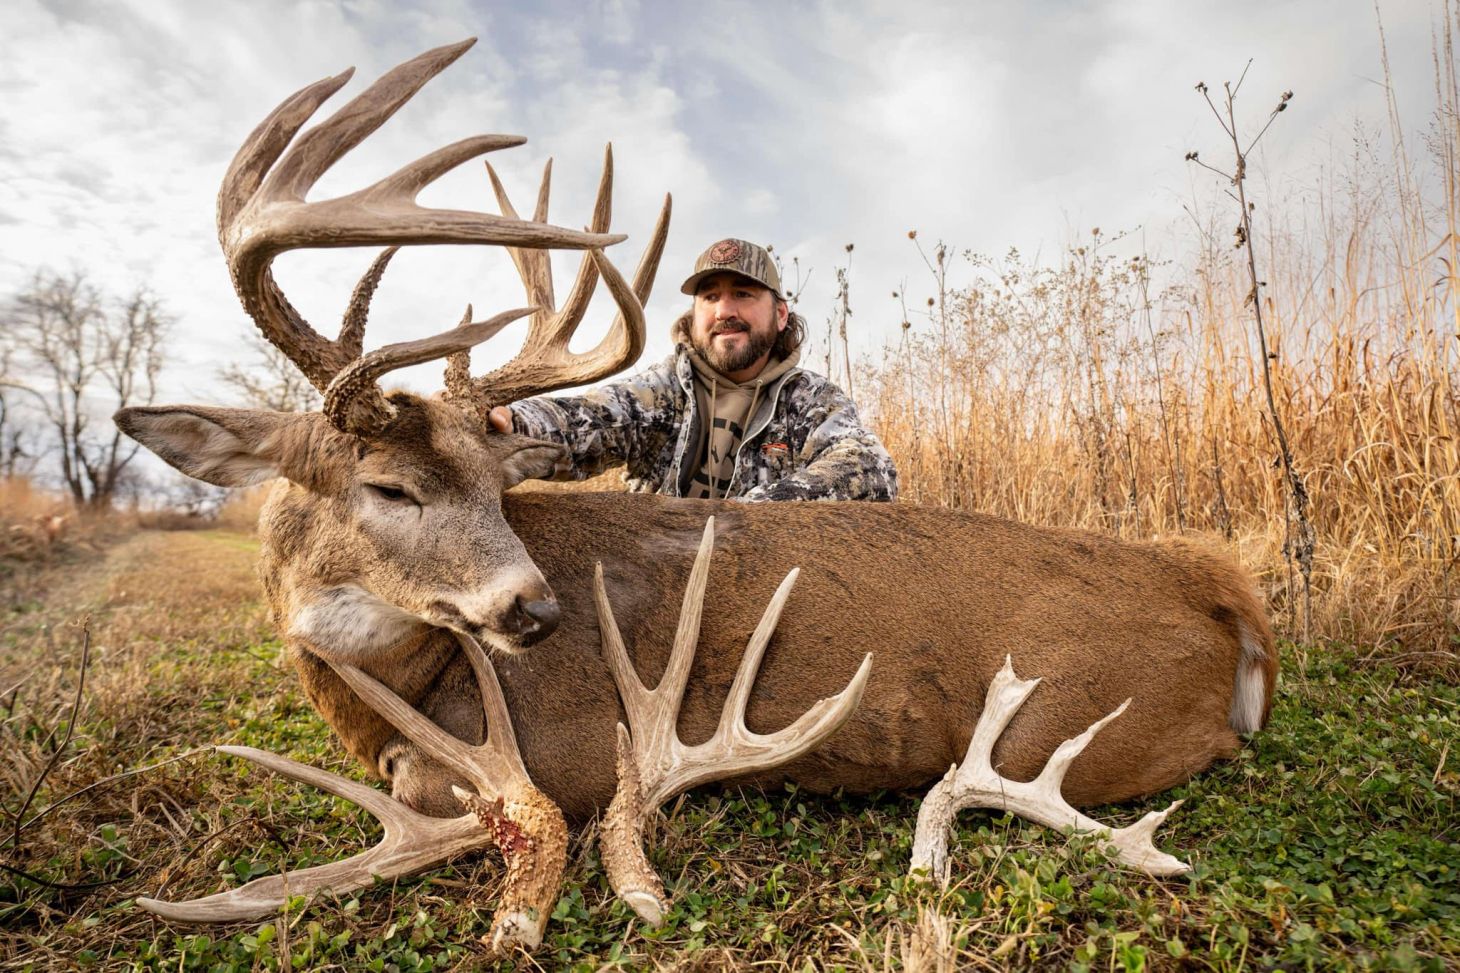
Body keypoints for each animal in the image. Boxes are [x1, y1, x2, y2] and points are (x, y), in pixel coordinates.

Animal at [114, 40, 1277, 952]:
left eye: (494, 486)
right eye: (390, 485)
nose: (537, 607)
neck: (402, 677)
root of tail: (1224, 591)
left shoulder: (557, 756)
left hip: (1072, 725)